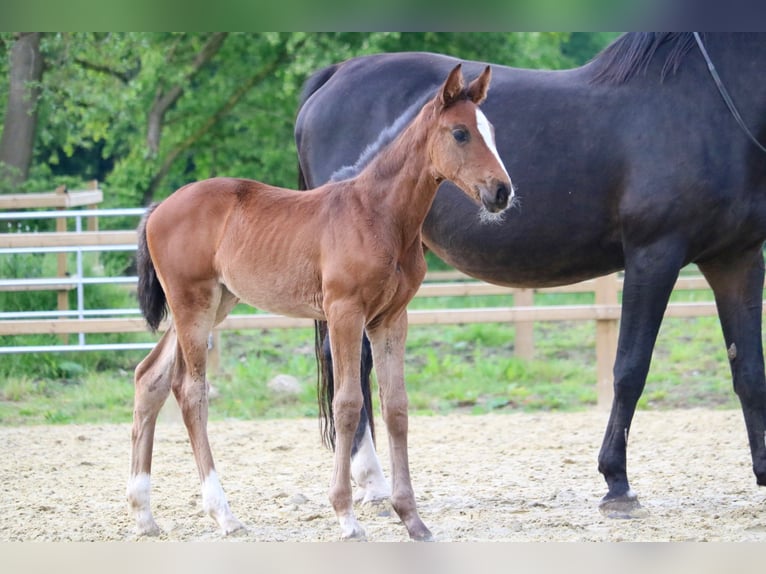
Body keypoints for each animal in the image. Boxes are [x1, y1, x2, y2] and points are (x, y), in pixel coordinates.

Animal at [127, 65, 516, 544]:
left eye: (491, 131)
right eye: (460, 133)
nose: (501, 192)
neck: (378, 215)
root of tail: (159, 207)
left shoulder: (391, 319)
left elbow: (396, 406)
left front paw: (412, 519)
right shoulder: (344, 313)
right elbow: (348, 404)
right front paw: (346, 517)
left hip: (215, 302)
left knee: (150, 378)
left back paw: (144, 515)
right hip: (193, 304)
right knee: (190, 390)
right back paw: (222, 513)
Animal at [296, 31, 766, 516]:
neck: (706, 100)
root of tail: (334, 76)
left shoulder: (737, 259)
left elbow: (749, 370)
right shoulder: (654, 255)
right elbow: (630, 369)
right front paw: (617, 482)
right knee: (348, 363)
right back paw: (373, 481)